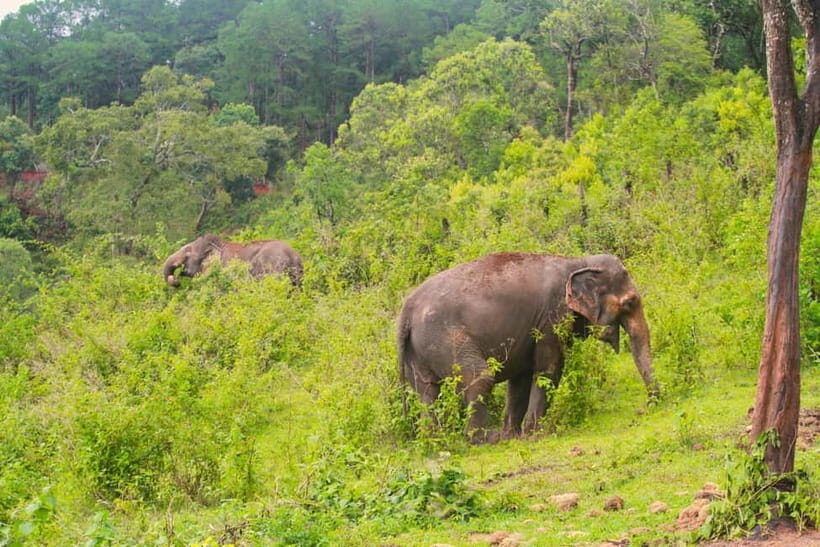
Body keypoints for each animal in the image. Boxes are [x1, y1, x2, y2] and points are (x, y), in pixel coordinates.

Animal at [397, 252, 658, 442]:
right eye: (629, 303)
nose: (645, 407)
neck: (577, 262)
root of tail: (406, 311)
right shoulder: (552, 317)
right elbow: (548, 369)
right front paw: (536, 434)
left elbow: (521, 379)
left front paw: (513, 435)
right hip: (446, 338)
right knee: (479, 378)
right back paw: (484, 439)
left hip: (419, 349)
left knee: (426, 392)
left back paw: (434, 441)